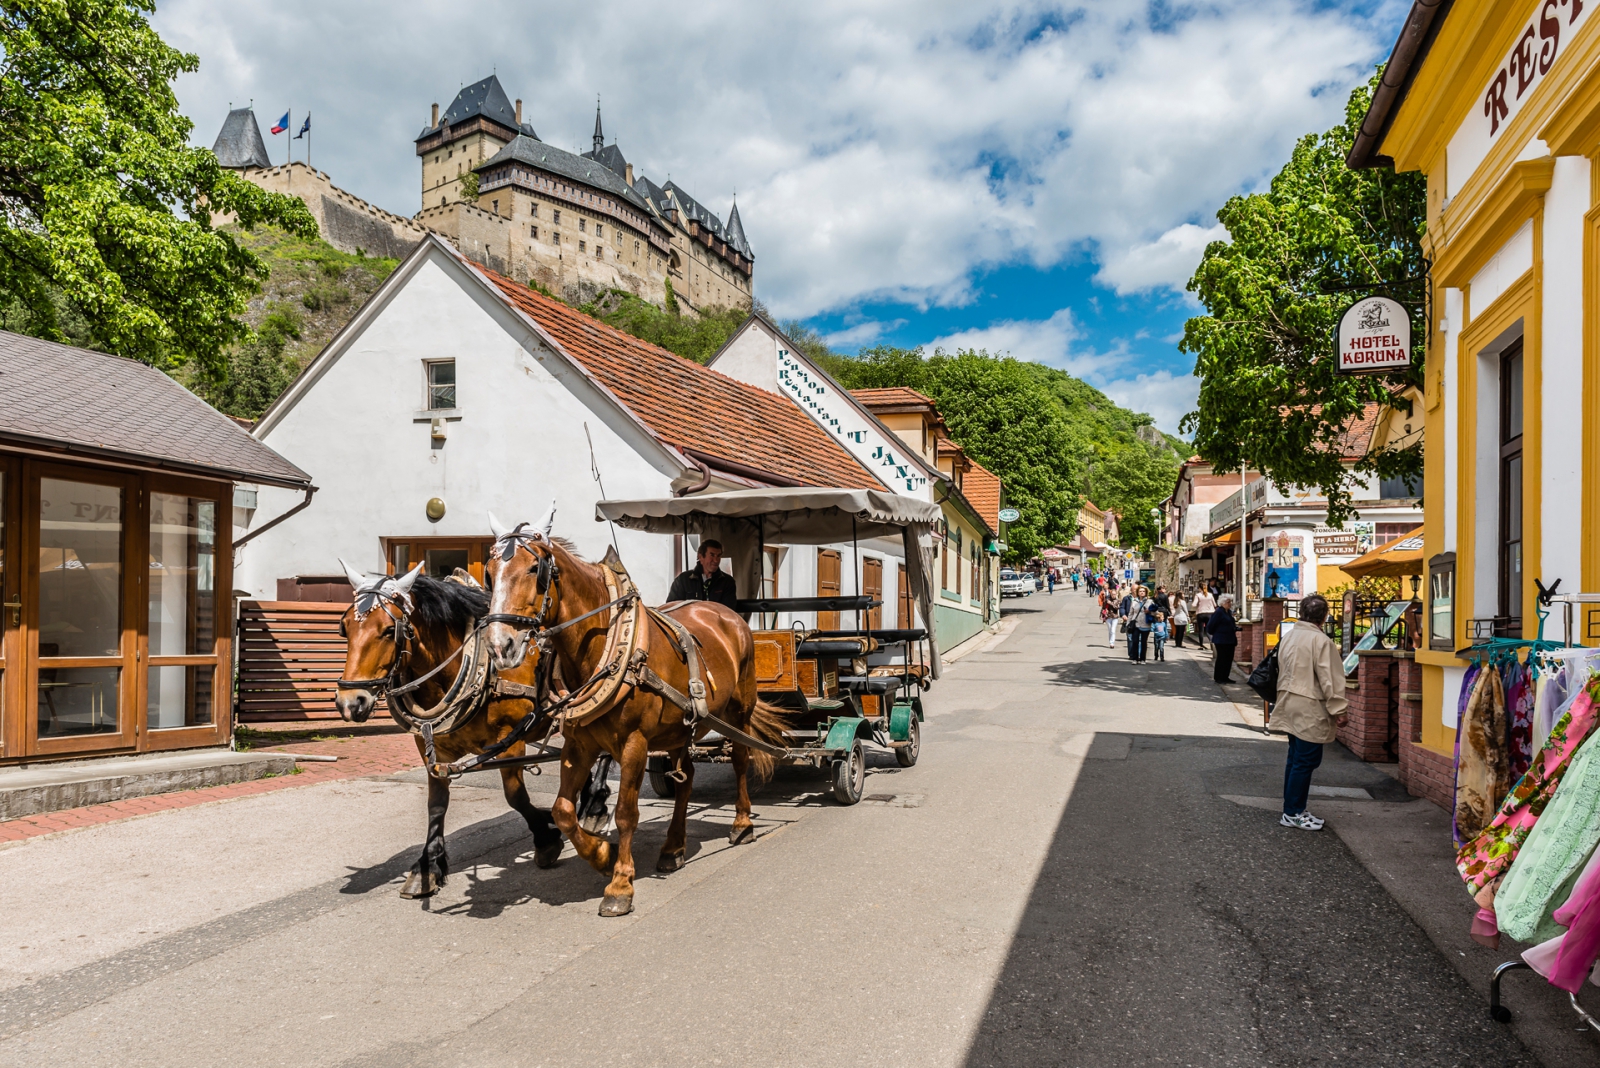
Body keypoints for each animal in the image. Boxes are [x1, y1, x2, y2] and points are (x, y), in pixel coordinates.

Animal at [331, 562, 569, 895]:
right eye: (345, 628)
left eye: (390, 630)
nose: (350, 703)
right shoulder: (429, 745)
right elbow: (436, 805)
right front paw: (428, 865)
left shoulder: (511, 740)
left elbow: (516, 797)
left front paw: (546, 837)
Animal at [483, 518, 790, 920]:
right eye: (489, 574)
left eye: (536, 570)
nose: (499, 646)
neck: (607, 645)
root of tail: (727, 614)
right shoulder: (579, 743)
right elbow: (563, 810)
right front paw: (602, 854)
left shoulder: (634, 742)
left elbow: (627, 813)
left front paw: (620, 884)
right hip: (680, 728)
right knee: (687, 779)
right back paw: (673, 847)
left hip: (739, 710)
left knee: (740, 759)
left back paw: (742, 824)